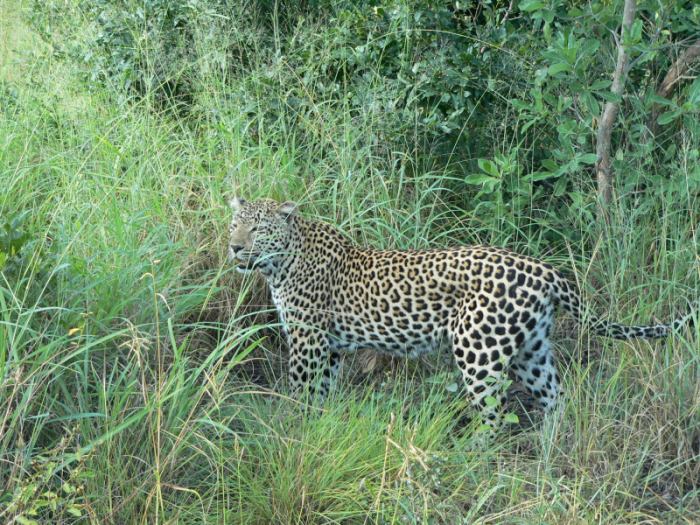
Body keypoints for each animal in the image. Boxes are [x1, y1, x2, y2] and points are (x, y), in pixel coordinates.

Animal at [228, 196, 696, 426]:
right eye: (235, 223)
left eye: (259, 228)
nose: (233, 246)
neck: (281, 262)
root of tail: (544, 269)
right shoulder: (330, 347)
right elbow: (321, 395)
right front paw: (315, 430)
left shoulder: (308, 340)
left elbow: (299, 392)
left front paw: (292, 431)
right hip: (531, 352)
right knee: (556, 398)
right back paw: (551, 451)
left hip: (479, 350)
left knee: (494, 415)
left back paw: (473, 457)